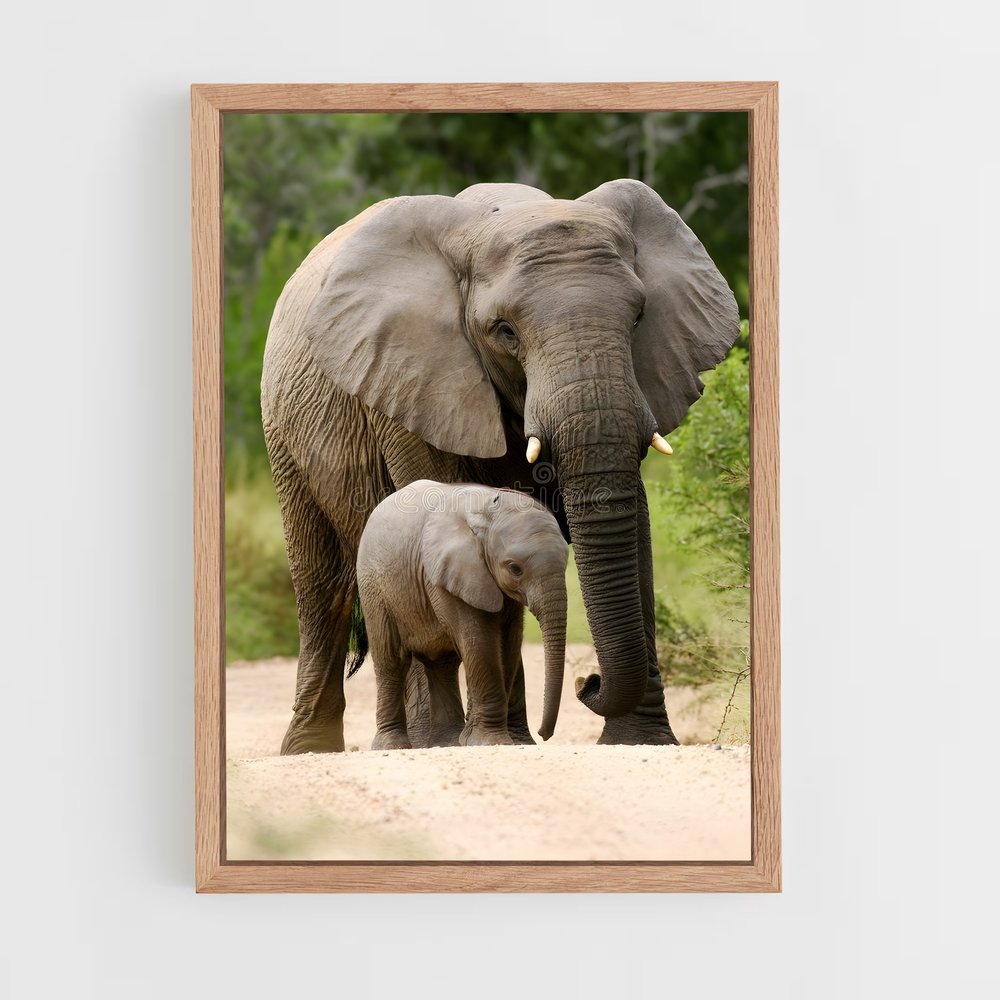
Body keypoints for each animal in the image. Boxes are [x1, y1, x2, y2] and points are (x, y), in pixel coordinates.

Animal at [356, 480, 569, 749]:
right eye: (514, 568)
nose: (544, 734)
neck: (487, 514)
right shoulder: (447, 574)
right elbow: (480, 641)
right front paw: (489, 741)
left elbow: (508, 644)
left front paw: (473, 739)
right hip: (374, 587)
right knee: (391, 660)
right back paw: (391, 746)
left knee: (442, 664)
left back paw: (447, 742)